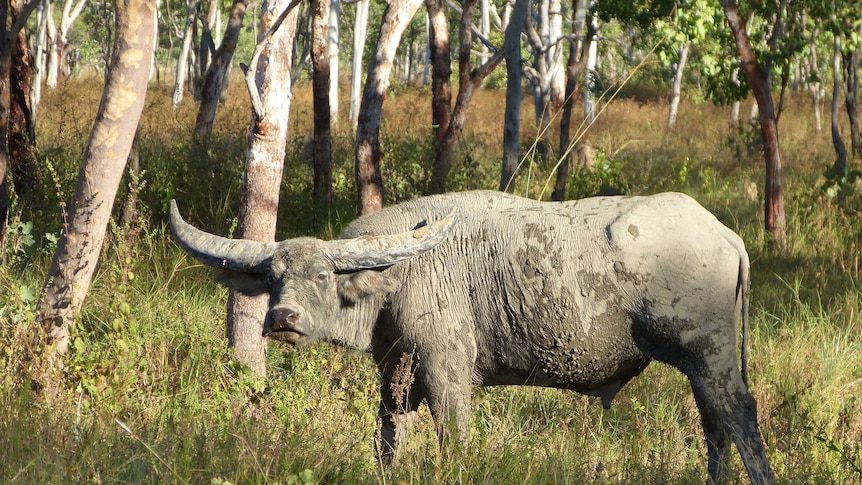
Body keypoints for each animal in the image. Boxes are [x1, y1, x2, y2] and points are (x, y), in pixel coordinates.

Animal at [172, 191, 780, 482]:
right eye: (274, 277)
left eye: (322, 275)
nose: (282, 317)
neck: (398, 276)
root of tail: (724, 234)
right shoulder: (395, 379)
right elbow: (386, 442)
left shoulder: (447, 374)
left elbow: (455, 440)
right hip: (700, 368)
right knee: (715, 428)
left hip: (711, 357)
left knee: (740, 418)